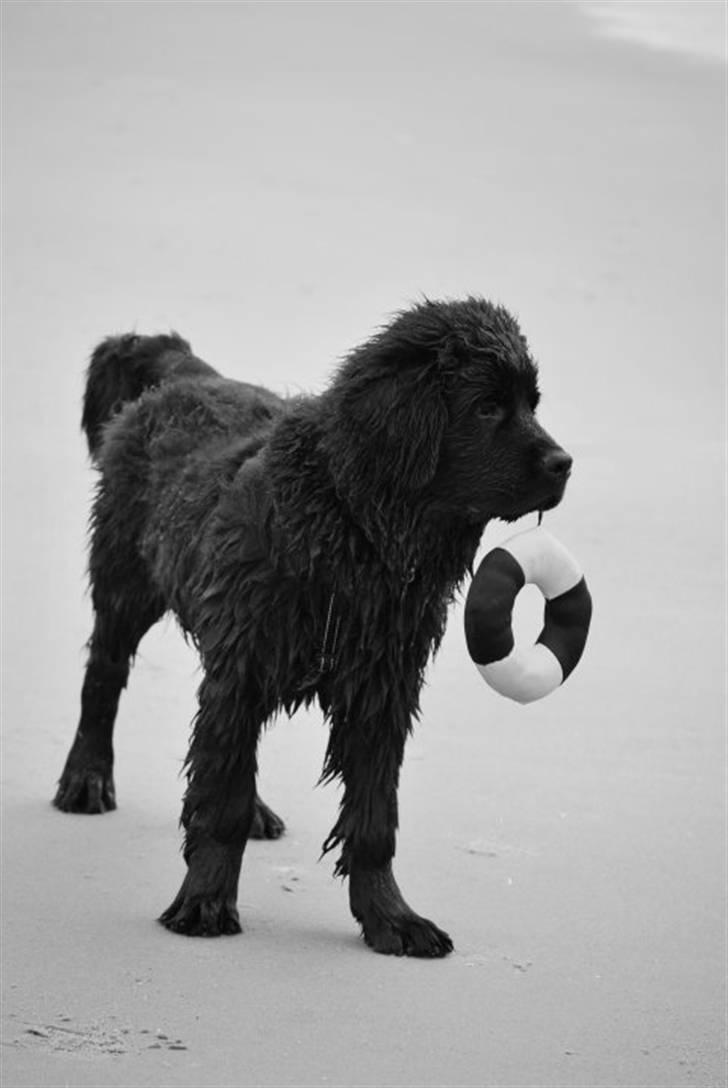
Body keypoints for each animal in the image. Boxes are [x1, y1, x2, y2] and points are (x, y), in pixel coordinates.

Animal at [53, 298, 570, 953]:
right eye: (486, 407)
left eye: (532, 402)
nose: (565, 464)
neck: (352, 529)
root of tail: (185, 371)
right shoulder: (245, 664)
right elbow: (219, 798)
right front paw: (204, 902)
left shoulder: (382, 687)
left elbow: (372, 819)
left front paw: (392, 919)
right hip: (126, 580)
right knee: (105, 678)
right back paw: (86, 780)